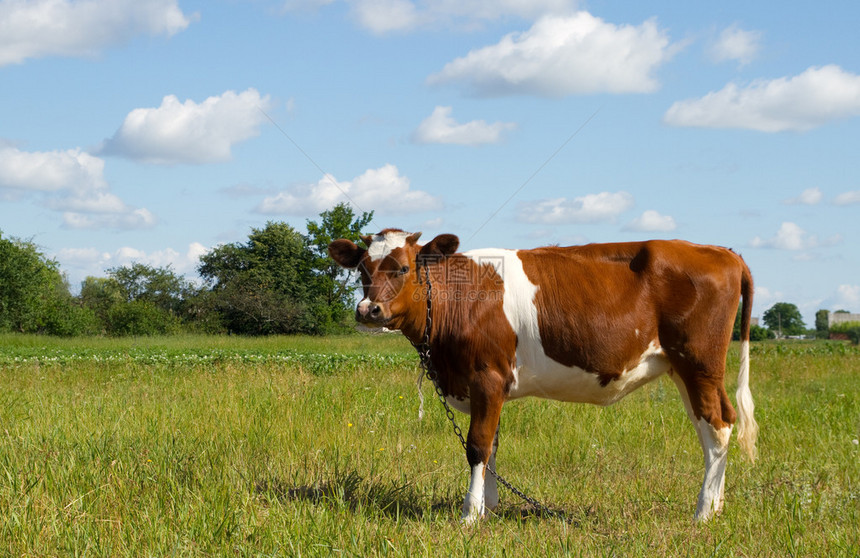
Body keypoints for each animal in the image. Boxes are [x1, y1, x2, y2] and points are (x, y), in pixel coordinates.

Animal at [326, 230, 756, 528]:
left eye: (403, 267)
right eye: (362, 269)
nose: (368, 310)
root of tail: (722, 252)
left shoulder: (486, 376)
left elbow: (477, 445)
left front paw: (469, 515)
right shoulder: (490, 385)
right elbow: (493, 445)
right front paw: (489, 508)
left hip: (698, 363)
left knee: (718, 427)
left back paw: (703, 513)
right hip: (683, 369)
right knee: (712, 427)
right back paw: (716, 505)